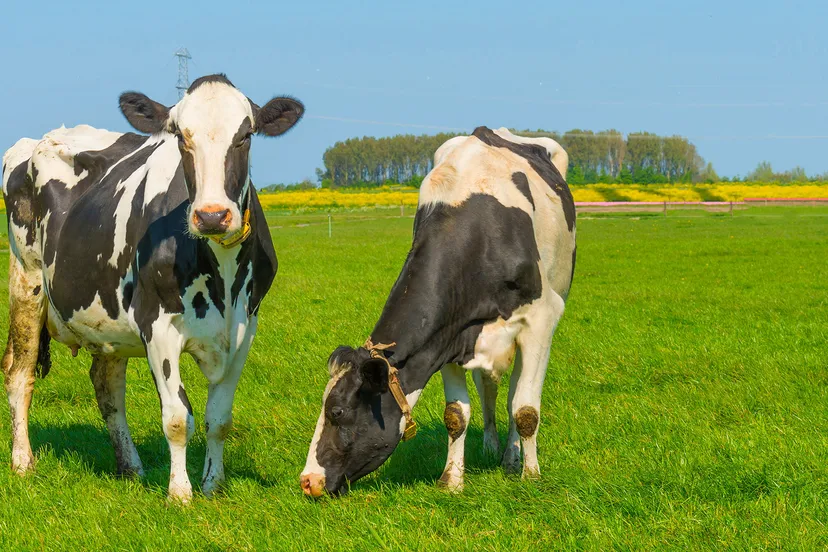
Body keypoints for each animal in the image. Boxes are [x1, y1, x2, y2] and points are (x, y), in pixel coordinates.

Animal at [1, 74, 303, 503]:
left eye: (245, 136)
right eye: (180, 136)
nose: (213, 215)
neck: (222, 274)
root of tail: (38, 139)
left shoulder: (245, 329)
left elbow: (219, 418)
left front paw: (213, 486)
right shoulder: (158, 326)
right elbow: (177, 418)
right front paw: (180, 494)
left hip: (105, 315)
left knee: (107, 387)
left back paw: (130, 468)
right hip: (26, 282)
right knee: (19, 374)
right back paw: (23, 463)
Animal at [300, 127, 575, 497]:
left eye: (337, 411)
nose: (308, 481)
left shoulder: (540, 320)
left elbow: (525, 409)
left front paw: (530, 476)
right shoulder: (447, 338)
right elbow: (456, 414)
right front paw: (451, 480)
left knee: (514, 394)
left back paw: (512, 457)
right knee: (490, 387)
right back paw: (492, 447)